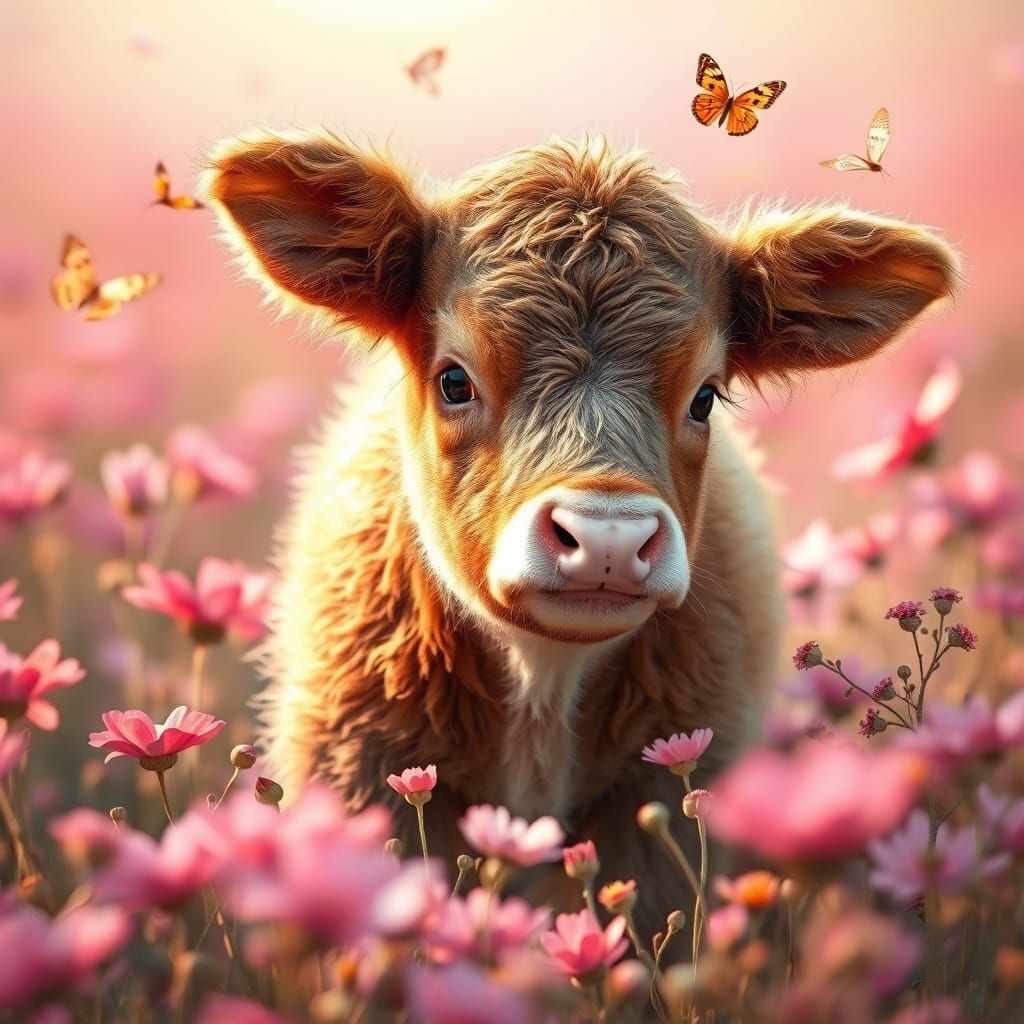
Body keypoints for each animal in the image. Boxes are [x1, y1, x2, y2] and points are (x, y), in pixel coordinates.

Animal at [205, 131, 958, 934]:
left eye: (705, 396)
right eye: (454, 380)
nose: (607, 539)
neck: (544, 681)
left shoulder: (666, 793)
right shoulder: (365, 770)